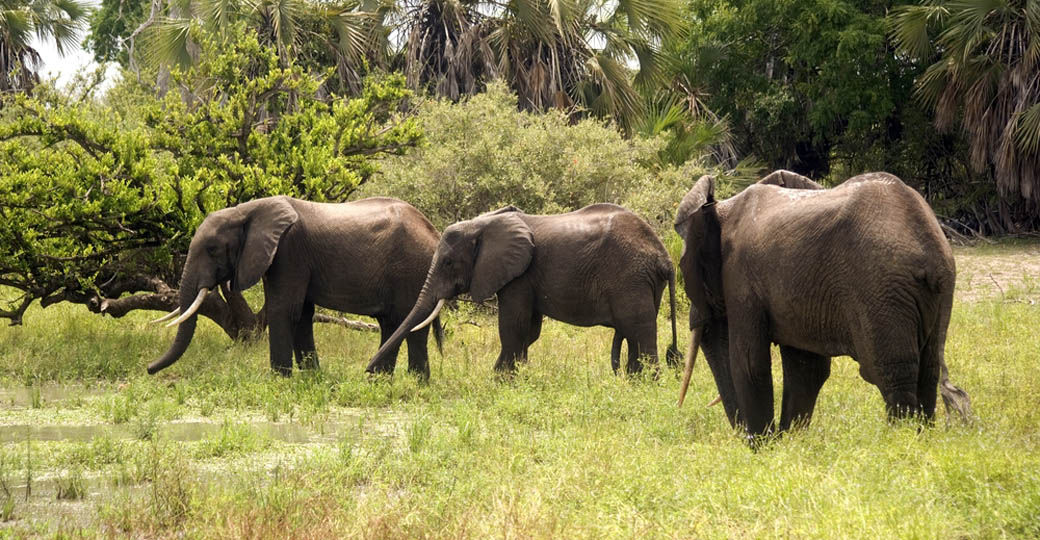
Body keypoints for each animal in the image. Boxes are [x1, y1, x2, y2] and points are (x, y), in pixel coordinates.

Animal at [147, 196, 442, 377]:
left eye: (212, 249)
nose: (149, 369)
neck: (247, 210)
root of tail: (433, 230)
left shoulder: (289, 251)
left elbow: (284, 310)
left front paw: (280, 379)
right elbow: (302, 314)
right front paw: (311, 376)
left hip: (412, 268)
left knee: (410, 323)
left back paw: (413, 382)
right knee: (390, 323)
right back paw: (380, 380)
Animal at [365, 204, 682, 375]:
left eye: (447, 262)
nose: (366, 372)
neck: (484, 223)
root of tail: (663, 256)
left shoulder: (519, 275)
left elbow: (513, 325)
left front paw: (498, 380)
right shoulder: (526, 276)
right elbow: (529, 330)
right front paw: (512, 376)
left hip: (631, 277)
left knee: (638, 328)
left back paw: (646, 385)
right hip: (643, 281)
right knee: (633, 331)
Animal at [674, 170, 973, 442]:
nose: (742, 436)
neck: (721, 208)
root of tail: (933, 248)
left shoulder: (740, 277)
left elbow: (748, 363)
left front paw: (763, 448)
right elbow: (805, 369)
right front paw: (789, 444)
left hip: (880, 288)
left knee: (889, 372)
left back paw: (901, 442)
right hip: (931, 296)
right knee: (928, 371)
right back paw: (921, 440)